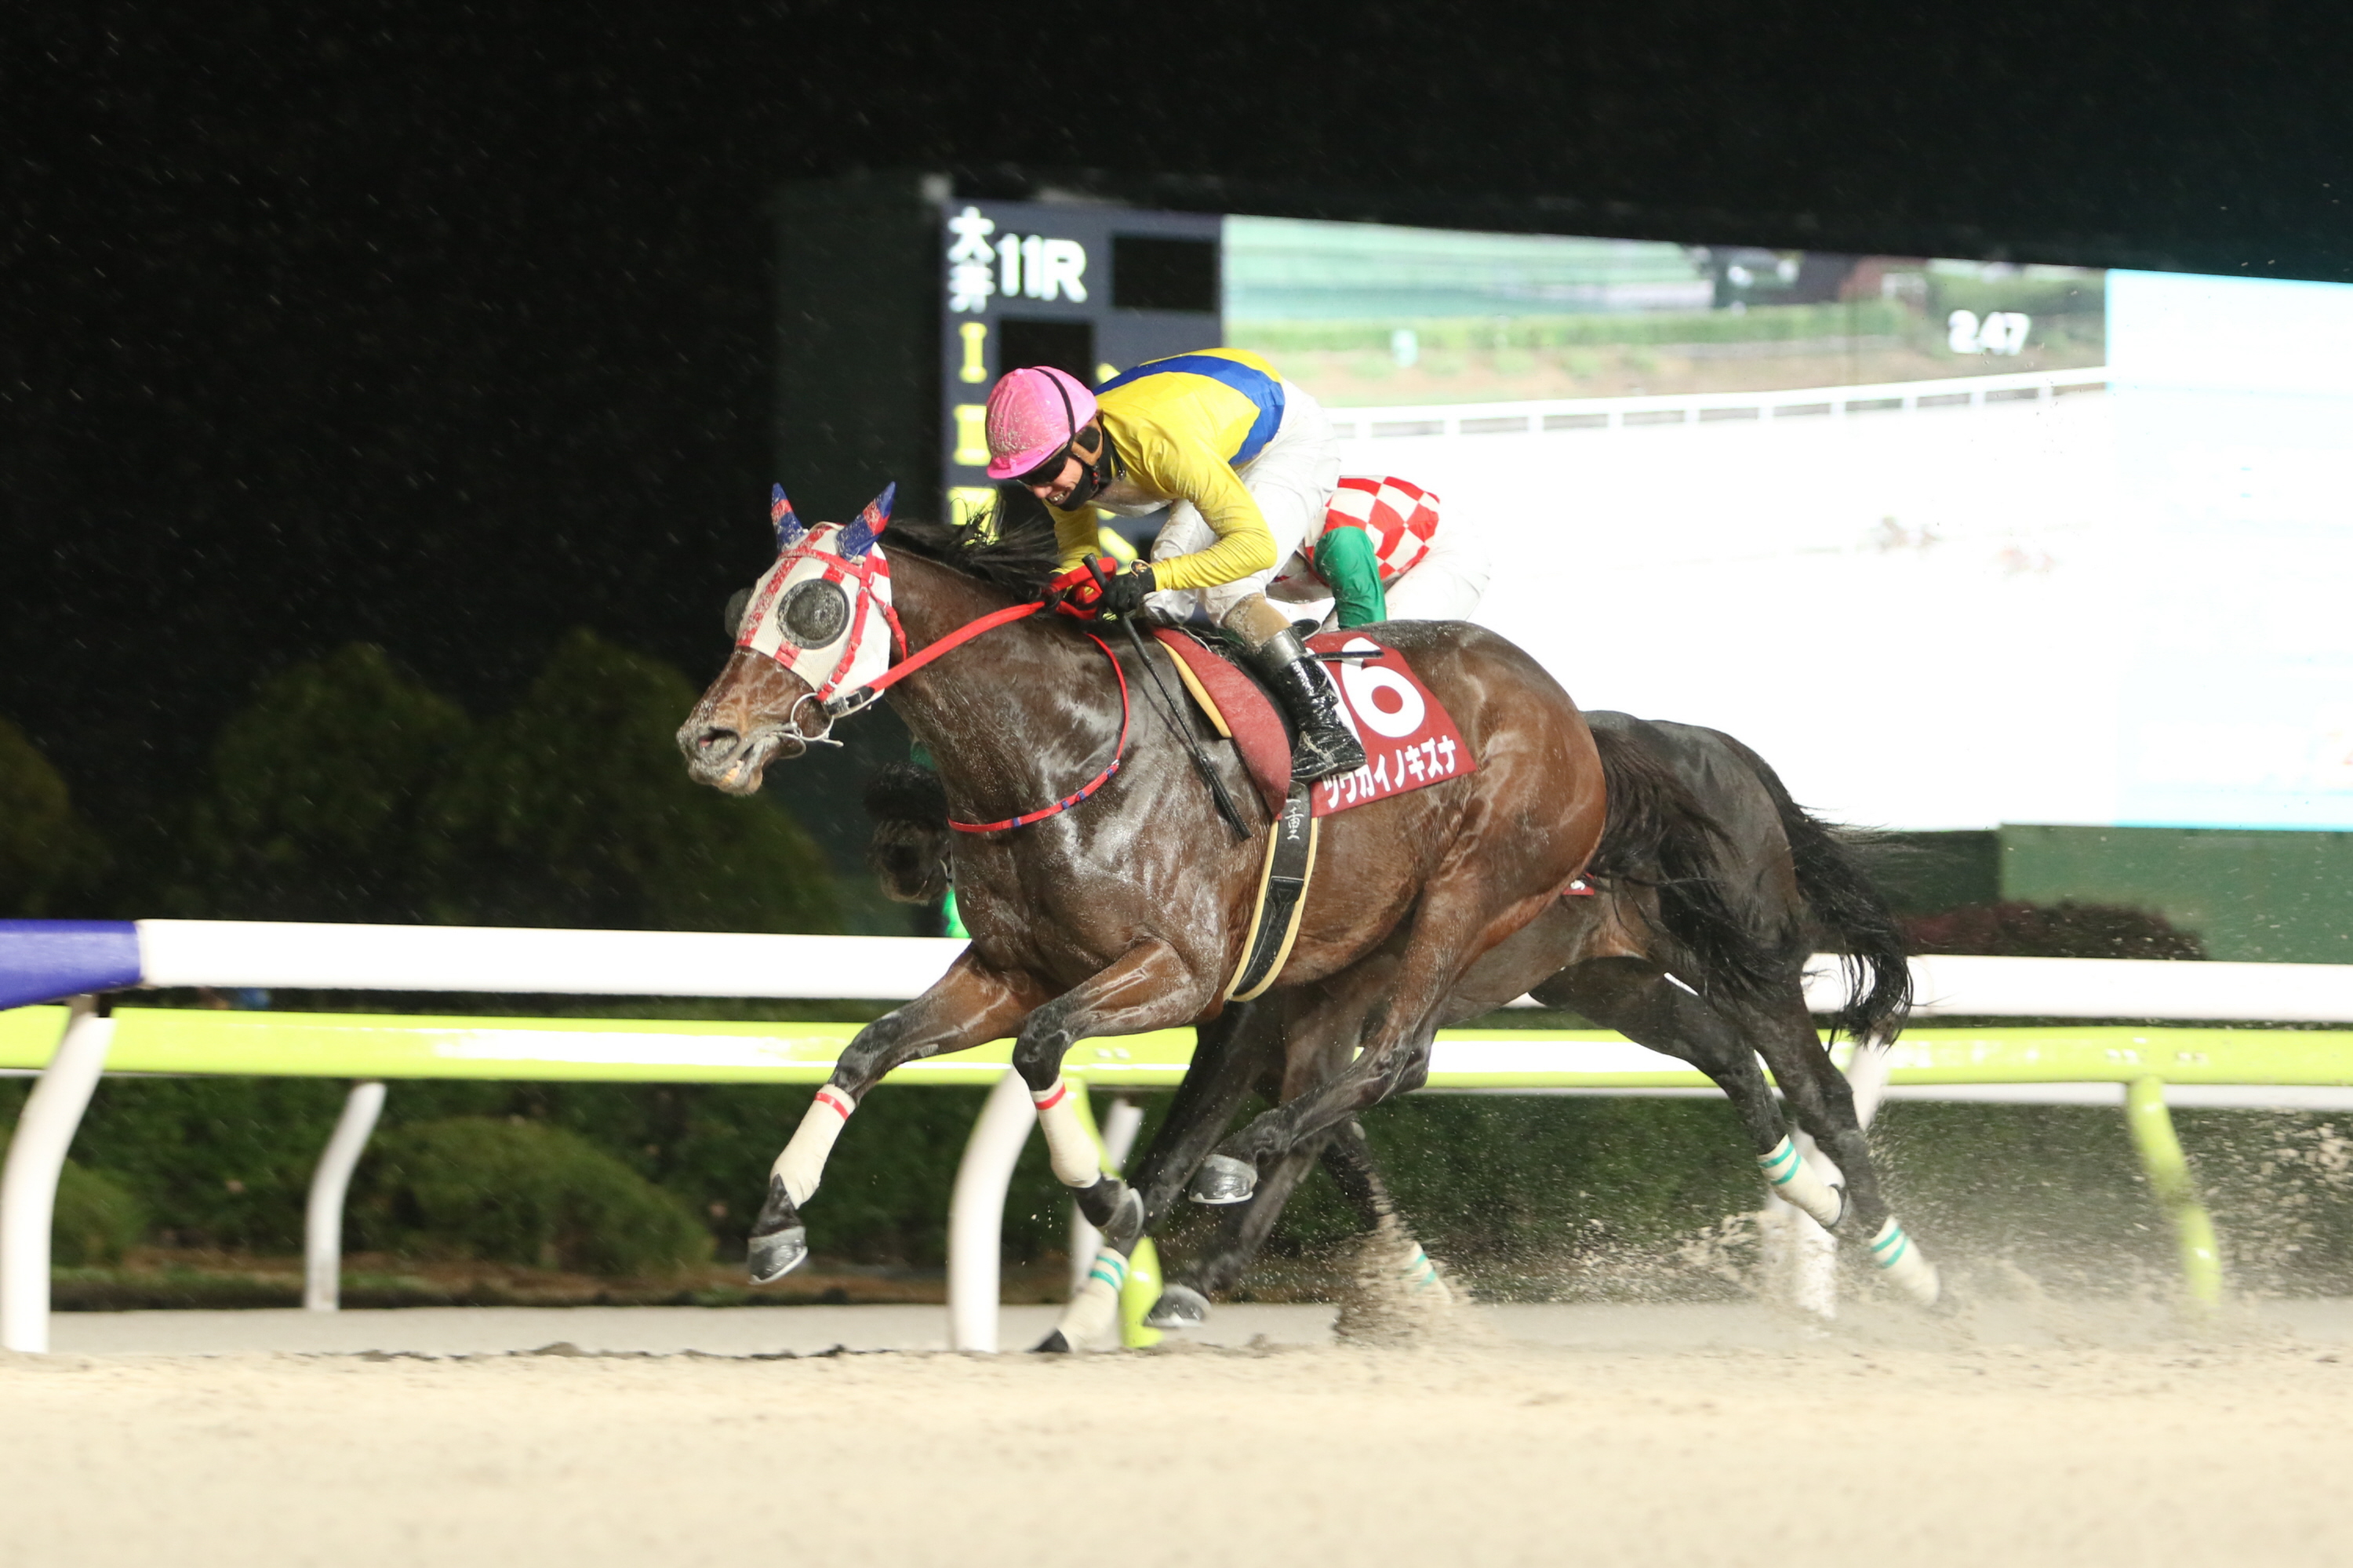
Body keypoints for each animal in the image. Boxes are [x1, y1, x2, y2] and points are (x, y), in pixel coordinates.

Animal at [677, 485, 1612, 1295]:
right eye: (739, 604)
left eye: (814, 609)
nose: (708, 739)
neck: (1062, 748)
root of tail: (1567, 711)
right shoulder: (1011, 971)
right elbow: (869, 1048)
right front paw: (777, 1218)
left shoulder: (1186, 972)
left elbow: (1041, 1048)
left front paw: (1106, 1193)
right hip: (1354, 950)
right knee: (1353, 1073)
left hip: (1467, 894)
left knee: (1395, 1057)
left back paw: (1240, 1156)